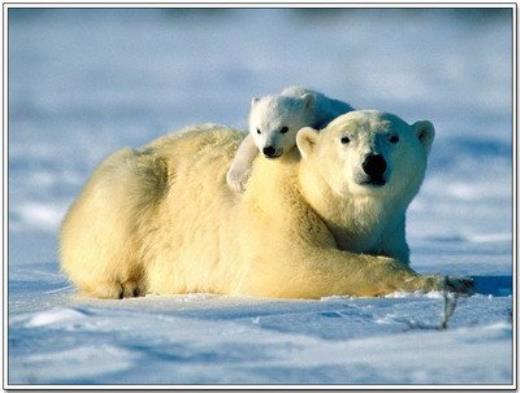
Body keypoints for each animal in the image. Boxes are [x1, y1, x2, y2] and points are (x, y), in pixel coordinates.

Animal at [59, 109, 474, 298]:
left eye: (393, 137)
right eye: (345, 138)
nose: (373, 163)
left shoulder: (389, 227)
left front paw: (455, 277)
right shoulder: (280, 206)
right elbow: (295, 263)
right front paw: (451, 279)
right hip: (132, 185)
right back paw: (123, 285)